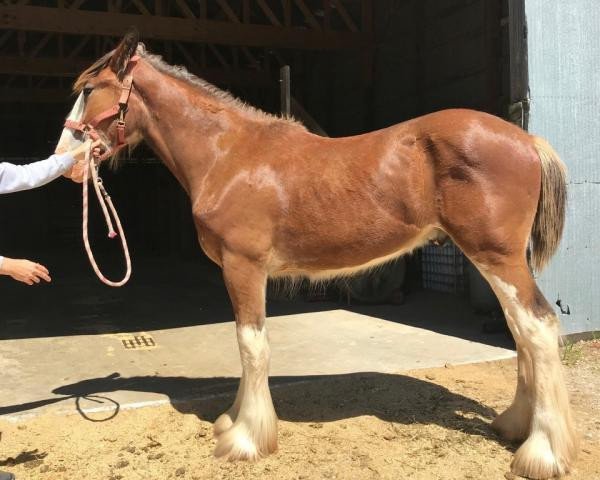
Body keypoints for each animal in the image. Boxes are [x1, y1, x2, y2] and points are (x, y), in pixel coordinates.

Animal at [55, 31, 576, 478]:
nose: (67, 165)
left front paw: (246, 438)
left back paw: (542, 453)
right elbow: (247, 344)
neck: (229, 155)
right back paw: (514, 427)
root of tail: (526, 139)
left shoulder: (244, 267)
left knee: (537, 327)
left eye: (90, 88)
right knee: (521, 331)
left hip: (497, 257)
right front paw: (234, 421)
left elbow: (252, 345)